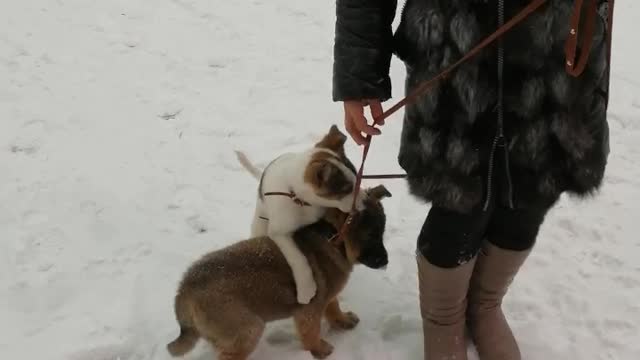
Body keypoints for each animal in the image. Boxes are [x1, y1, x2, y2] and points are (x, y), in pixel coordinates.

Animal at [166, 186, 390, 360]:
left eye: (382, 233)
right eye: (371, 235)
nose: (386, 262)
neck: (332, 238)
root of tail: (184, 290)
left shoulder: (325, 295)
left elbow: (333, 307)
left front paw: (342, 321)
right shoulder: (308, 311)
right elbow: (311, 333)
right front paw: (319, 350)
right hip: (248, 329)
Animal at [235, 125, 364, 302]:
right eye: (347, 190)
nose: (365, 203)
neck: (300, 199)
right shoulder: (279, 233)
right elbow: (297, 257)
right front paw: (306, 289)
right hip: (260, 225)